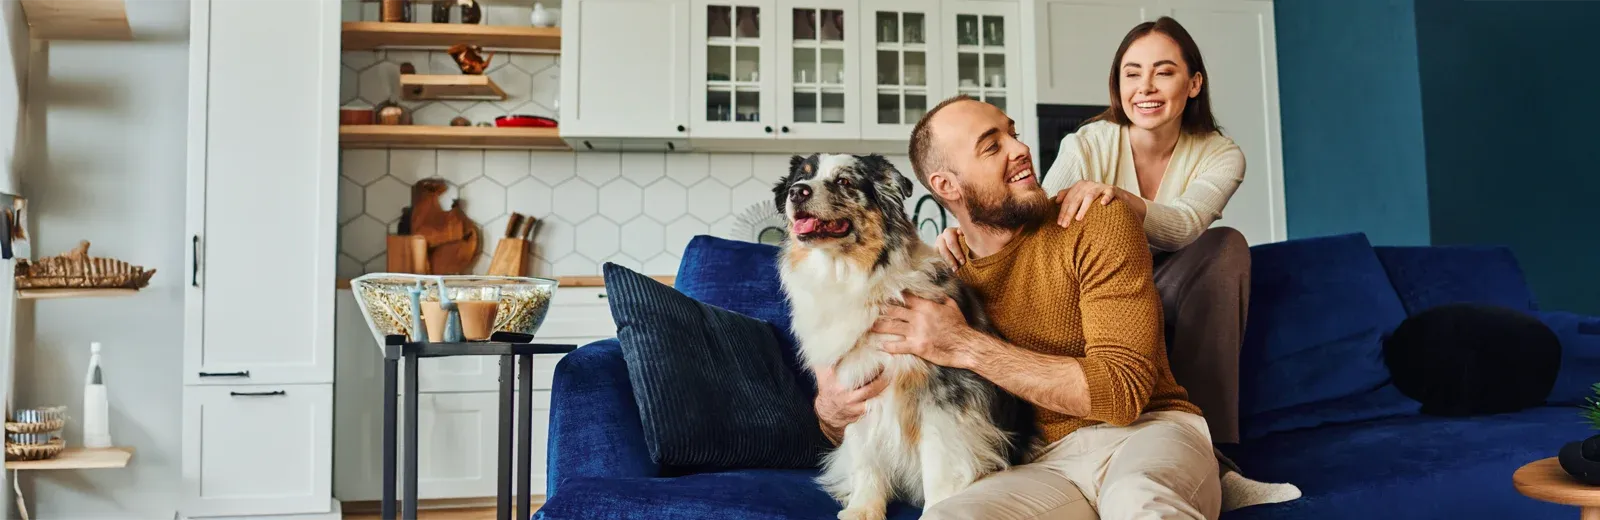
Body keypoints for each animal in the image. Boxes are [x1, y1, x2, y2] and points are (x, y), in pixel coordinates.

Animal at [774, 152, 1036, 515]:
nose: (796, 192)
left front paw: (936, 508)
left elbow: (939, 462)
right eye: (802, 176)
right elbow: (866, 456)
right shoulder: (856, 389)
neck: (850, 277)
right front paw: (863, 509)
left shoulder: (944, 394)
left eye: (844, 181)